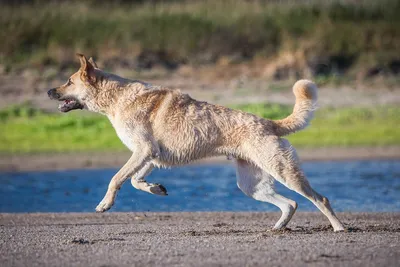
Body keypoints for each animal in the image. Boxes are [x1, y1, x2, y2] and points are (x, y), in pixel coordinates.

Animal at [48, 54, 346, 232]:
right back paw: (277, 228)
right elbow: (134, 180)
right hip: (251, 184)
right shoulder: (151, 155)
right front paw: (156, 189)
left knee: (319, 198)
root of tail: (268, 122)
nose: (49, 91)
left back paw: (339, 227)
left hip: (284, 172)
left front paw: (105, 204)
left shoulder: (144, 150)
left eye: (68, 81)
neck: (116, 98)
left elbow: (117, 178)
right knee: (290, 204)